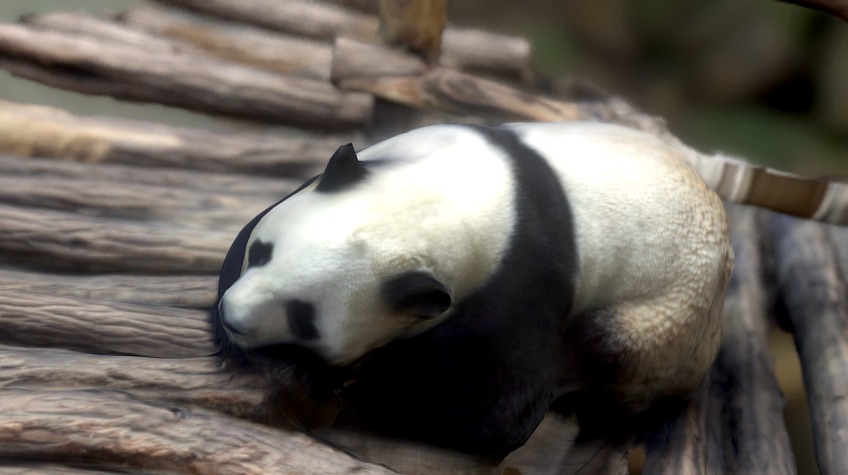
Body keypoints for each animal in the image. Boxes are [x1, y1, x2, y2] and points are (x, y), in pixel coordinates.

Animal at [211, 121, 733, 460]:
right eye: (263, 253)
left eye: (305, 316)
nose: (232, 317)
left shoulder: (525, 274)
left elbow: (495, 408)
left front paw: (356, 390)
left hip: (664, 317)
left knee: (609, 355)